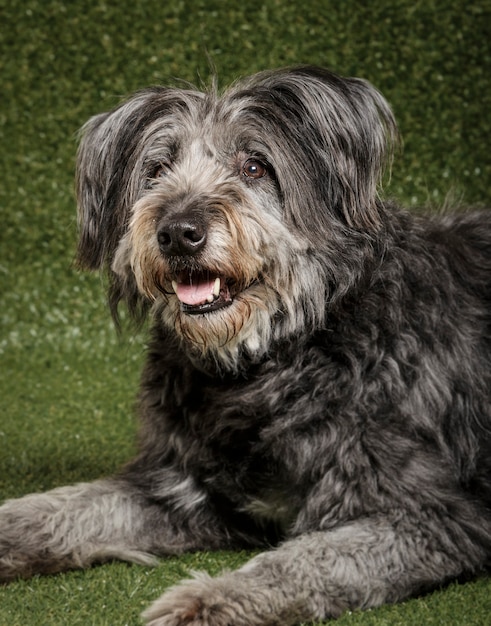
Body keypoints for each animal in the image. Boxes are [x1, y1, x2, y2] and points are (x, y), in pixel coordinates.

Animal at [0, 66, 491, 620]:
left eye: (254, 166)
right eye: (157, 170)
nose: (178, 232)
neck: (269, 361)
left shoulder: (435, 516)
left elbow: (308, 560)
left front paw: (208, 600)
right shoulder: (178, 487)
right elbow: (67, 506)